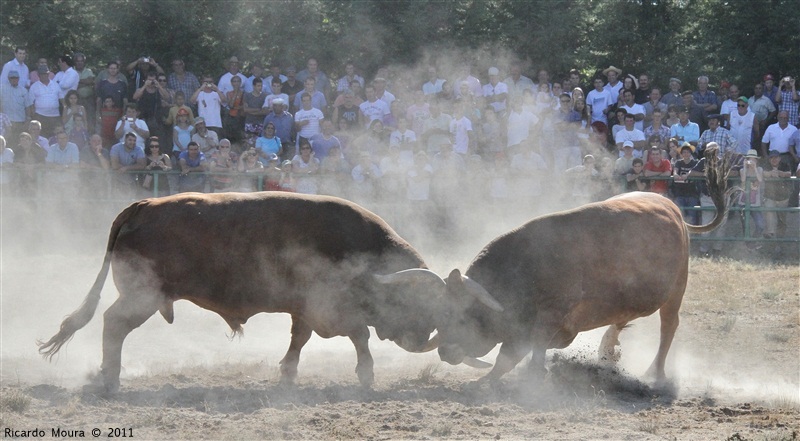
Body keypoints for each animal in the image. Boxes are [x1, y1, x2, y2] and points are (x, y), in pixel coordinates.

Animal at [39, 192, 444, 392]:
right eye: (419, 304)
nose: (425, 339)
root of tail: (143, 206)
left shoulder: (304, 310)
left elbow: (300, 339)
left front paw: (288, 375)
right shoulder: (332, 310)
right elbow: (359, 337)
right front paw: (366, 375)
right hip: (143, 297)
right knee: (113, 324)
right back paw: (110, 378)